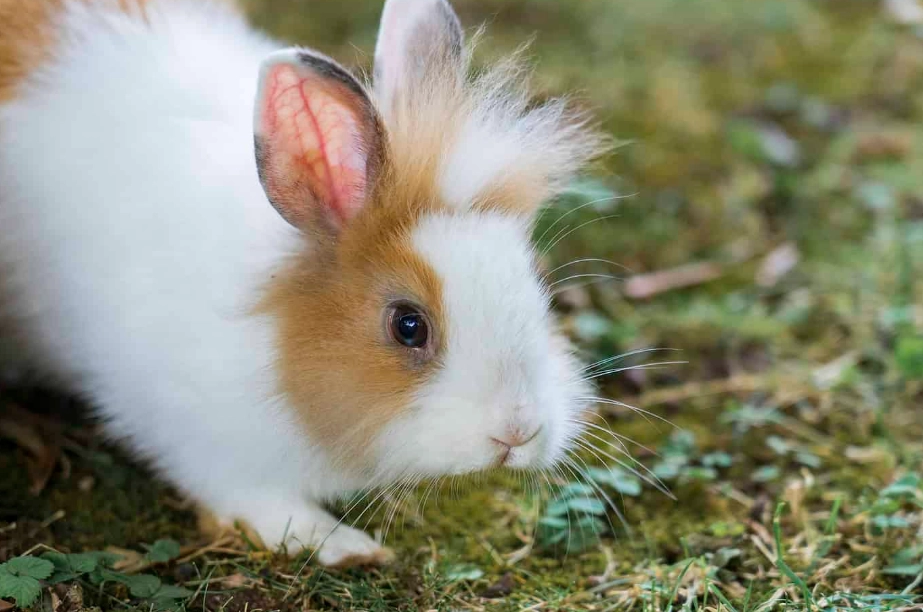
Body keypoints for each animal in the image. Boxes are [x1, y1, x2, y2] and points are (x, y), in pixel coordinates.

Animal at [0, 0, 605, 567]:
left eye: (538, 289)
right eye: (408, 326)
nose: (518, 432)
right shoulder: (189, 431)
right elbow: (253, 497)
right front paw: (342, 545)